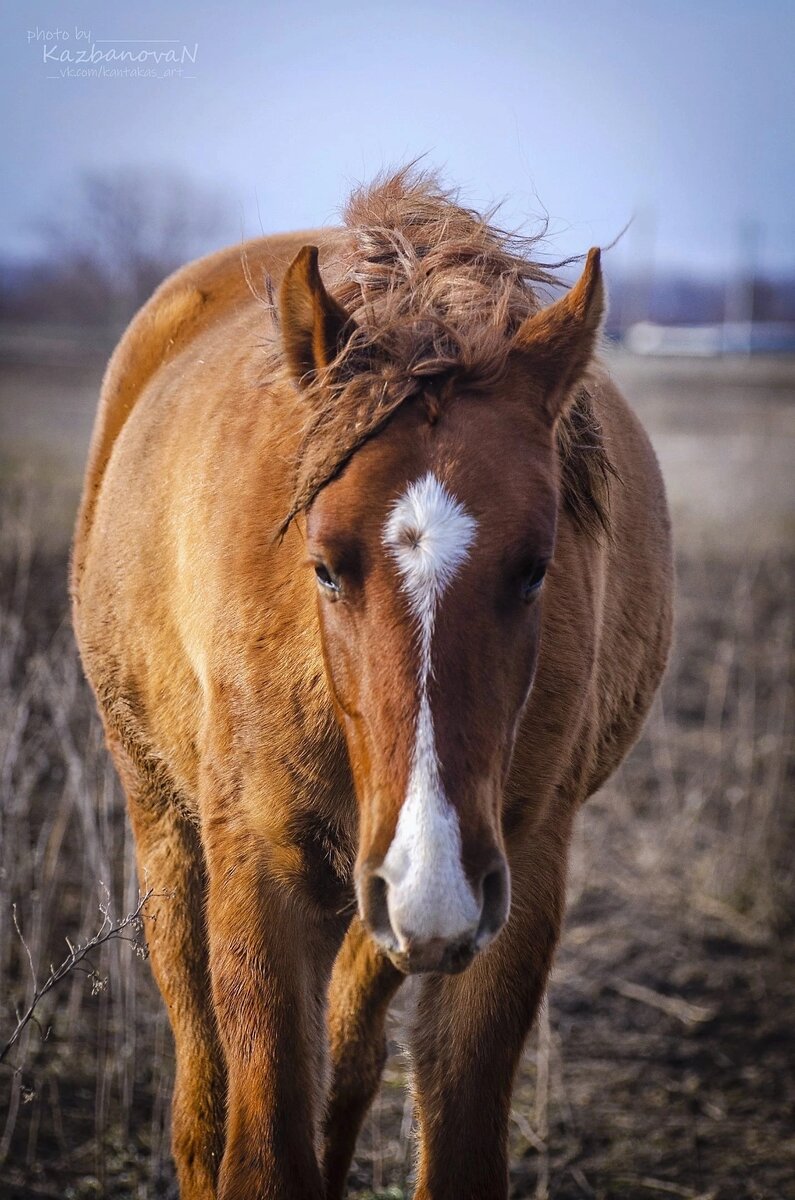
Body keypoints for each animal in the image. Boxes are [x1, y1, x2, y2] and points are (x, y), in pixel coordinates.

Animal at [71, 171, 677, 1200]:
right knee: (201, 1097)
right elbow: (261, 1148)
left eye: (535, 568)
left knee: (349, 1061)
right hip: (166, 827)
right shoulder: (261, 882)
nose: (428, 881)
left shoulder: (507, 891)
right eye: (323, 567)